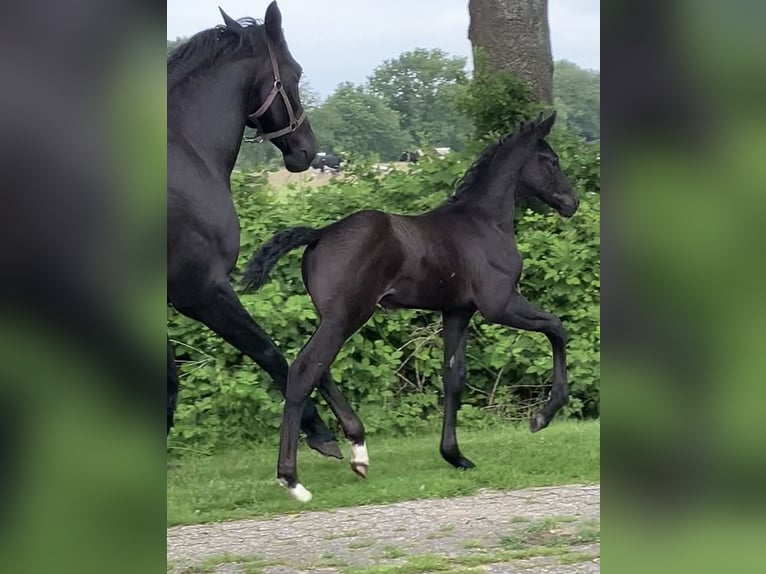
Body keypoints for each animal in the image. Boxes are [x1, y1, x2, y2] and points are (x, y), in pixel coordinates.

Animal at [243, 111, 580, 500]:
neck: (484, 223)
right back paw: (292, 479)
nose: (572, 203)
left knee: (319, 369)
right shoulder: (500, 304)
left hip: (334, 318)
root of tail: (320, 234)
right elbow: (556, 328)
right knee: (303, 371)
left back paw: (358, 452)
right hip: (346, 317)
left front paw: (455, 455)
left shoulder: (457, 311)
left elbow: (454, 376)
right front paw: (542, 416)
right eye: (551, 160)